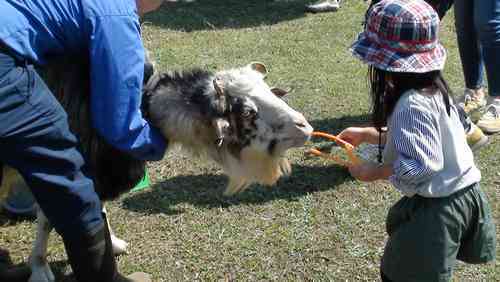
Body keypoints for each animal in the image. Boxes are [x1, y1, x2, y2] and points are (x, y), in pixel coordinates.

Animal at [0, 60, 312, 282]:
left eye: (268, 90)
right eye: (247, 111)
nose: (305, 127)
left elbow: (94, 209)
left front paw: (113, 243)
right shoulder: (59, 162)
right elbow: (51, 217)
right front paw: (39, 269)